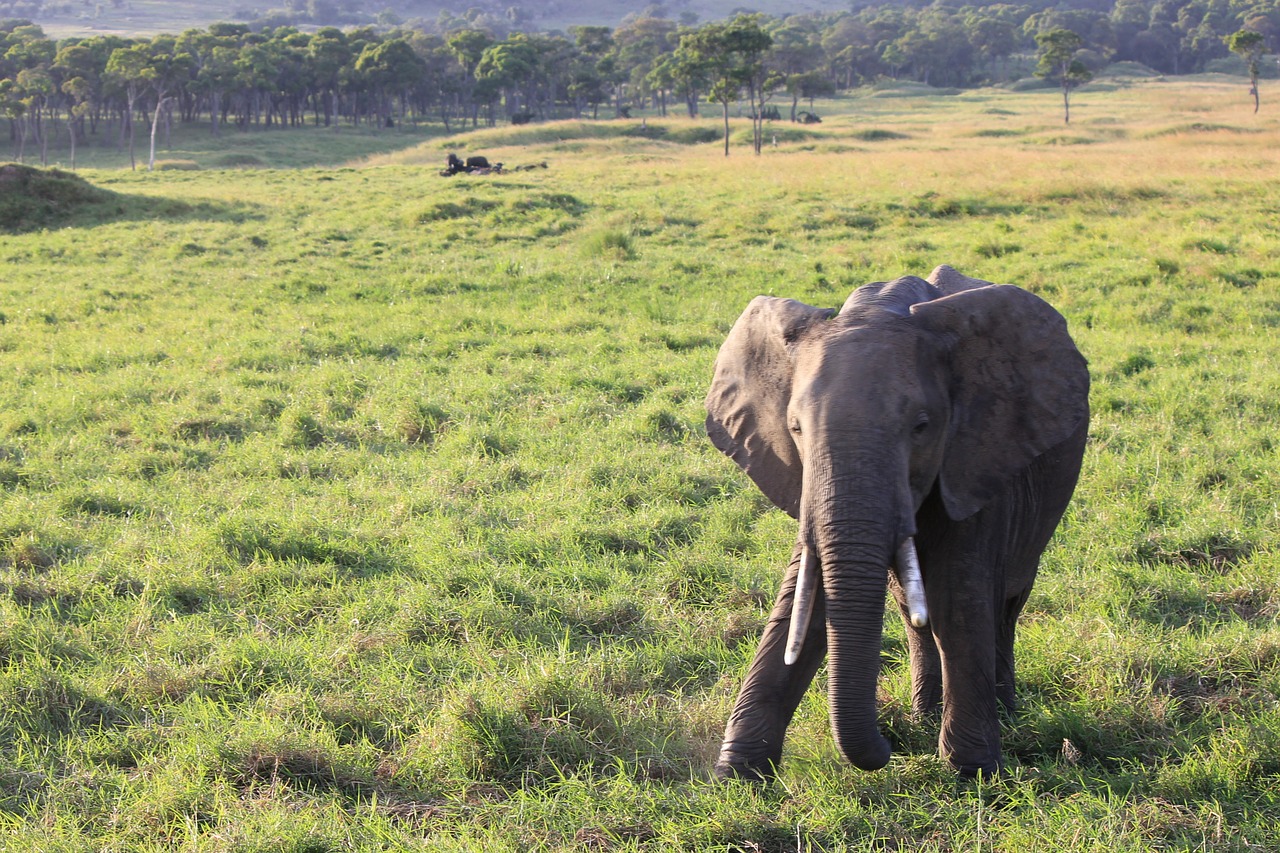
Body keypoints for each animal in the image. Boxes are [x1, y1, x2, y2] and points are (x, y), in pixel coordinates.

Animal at [706, 266, 1085, 778]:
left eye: (921, 427)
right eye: (796, 429)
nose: (888, 747)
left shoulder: (977, 456)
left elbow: (958, 596)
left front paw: (972, 772)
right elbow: (806, 595)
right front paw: (738, 773)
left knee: (1005, 600)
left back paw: (1002, 713)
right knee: (913, 610)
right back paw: (924, 716)